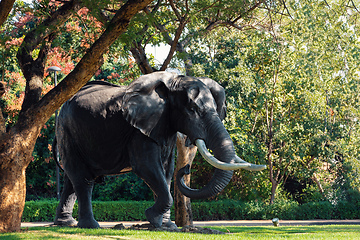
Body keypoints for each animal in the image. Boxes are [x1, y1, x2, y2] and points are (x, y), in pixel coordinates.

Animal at [52, 71, 264, 229]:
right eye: (192, 110)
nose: (186, 169)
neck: (173, 84)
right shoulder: (139, 130)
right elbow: (146, 166)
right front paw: (152, 218)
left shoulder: (164, 125)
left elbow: (166, 170)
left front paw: (165, 226)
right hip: (67, 130)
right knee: (82, 179)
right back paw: (90, 226)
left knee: (72, 180)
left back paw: (66, 223)